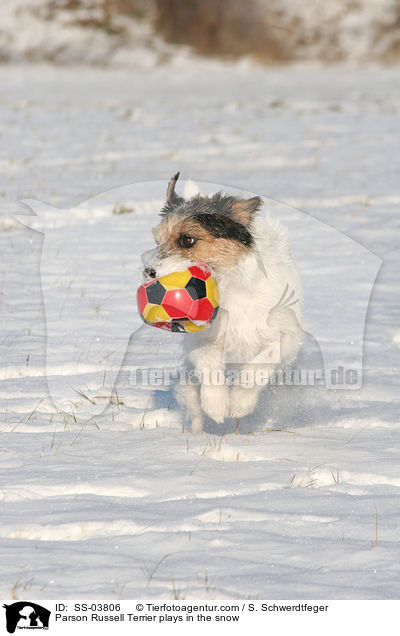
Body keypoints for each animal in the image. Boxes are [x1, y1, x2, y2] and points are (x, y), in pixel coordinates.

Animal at [142, 174, 302, 432]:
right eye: (157, 241)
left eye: (187, 239)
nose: (148, 272)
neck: (229, 286)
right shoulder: (200, 339)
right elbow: (209, 365)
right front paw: (216, 405)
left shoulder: (287, 336)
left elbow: (260, 365)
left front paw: (239, 403)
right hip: (187, 385)